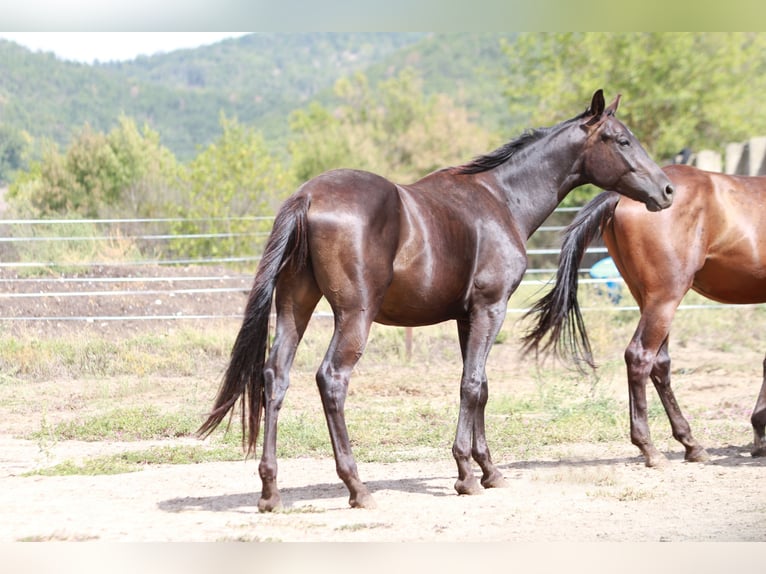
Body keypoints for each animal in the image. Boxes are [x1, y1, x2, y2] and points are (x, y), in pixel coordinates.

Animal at [200, 90, 680, 512]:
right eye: (621, 140)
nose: (667, 191)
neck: (500, 199)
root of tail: (308, 196)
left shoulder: (467, 317)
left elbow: (480, 387)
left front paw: (488, 470)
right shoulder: (490, 308)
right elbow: (471, 386)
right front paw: (466, 475)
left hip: (294, 308)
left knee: (275, 378)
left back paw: (270, 492)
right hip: (354, 317)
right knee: (332, 380)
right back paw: (357, 488)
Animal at [524, 164, 766, 470]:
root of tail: (620, 195)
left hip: (648, 300)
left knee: (659, 363)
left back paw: (690, 444)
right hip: (665, 299)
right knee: (640, 357)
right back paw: (650, 448)